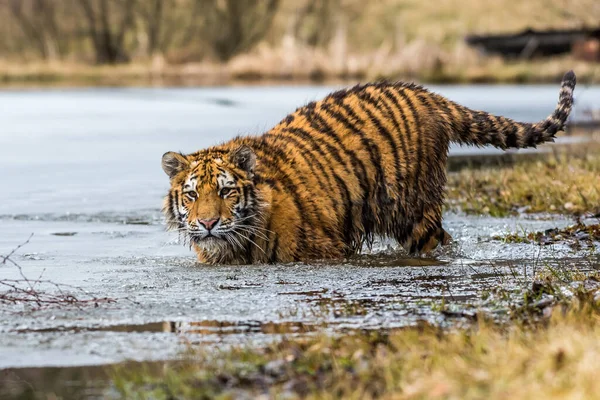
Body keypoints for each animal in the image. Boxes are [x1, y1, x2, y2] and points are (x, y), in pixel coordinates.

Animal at [162, 70, 576, 264]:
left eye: (227, 191)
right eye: (192, 195)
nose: (208, 223)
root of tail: (427, 94)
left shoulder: (324, 249)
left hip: (412, 210)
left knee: (439, 241)